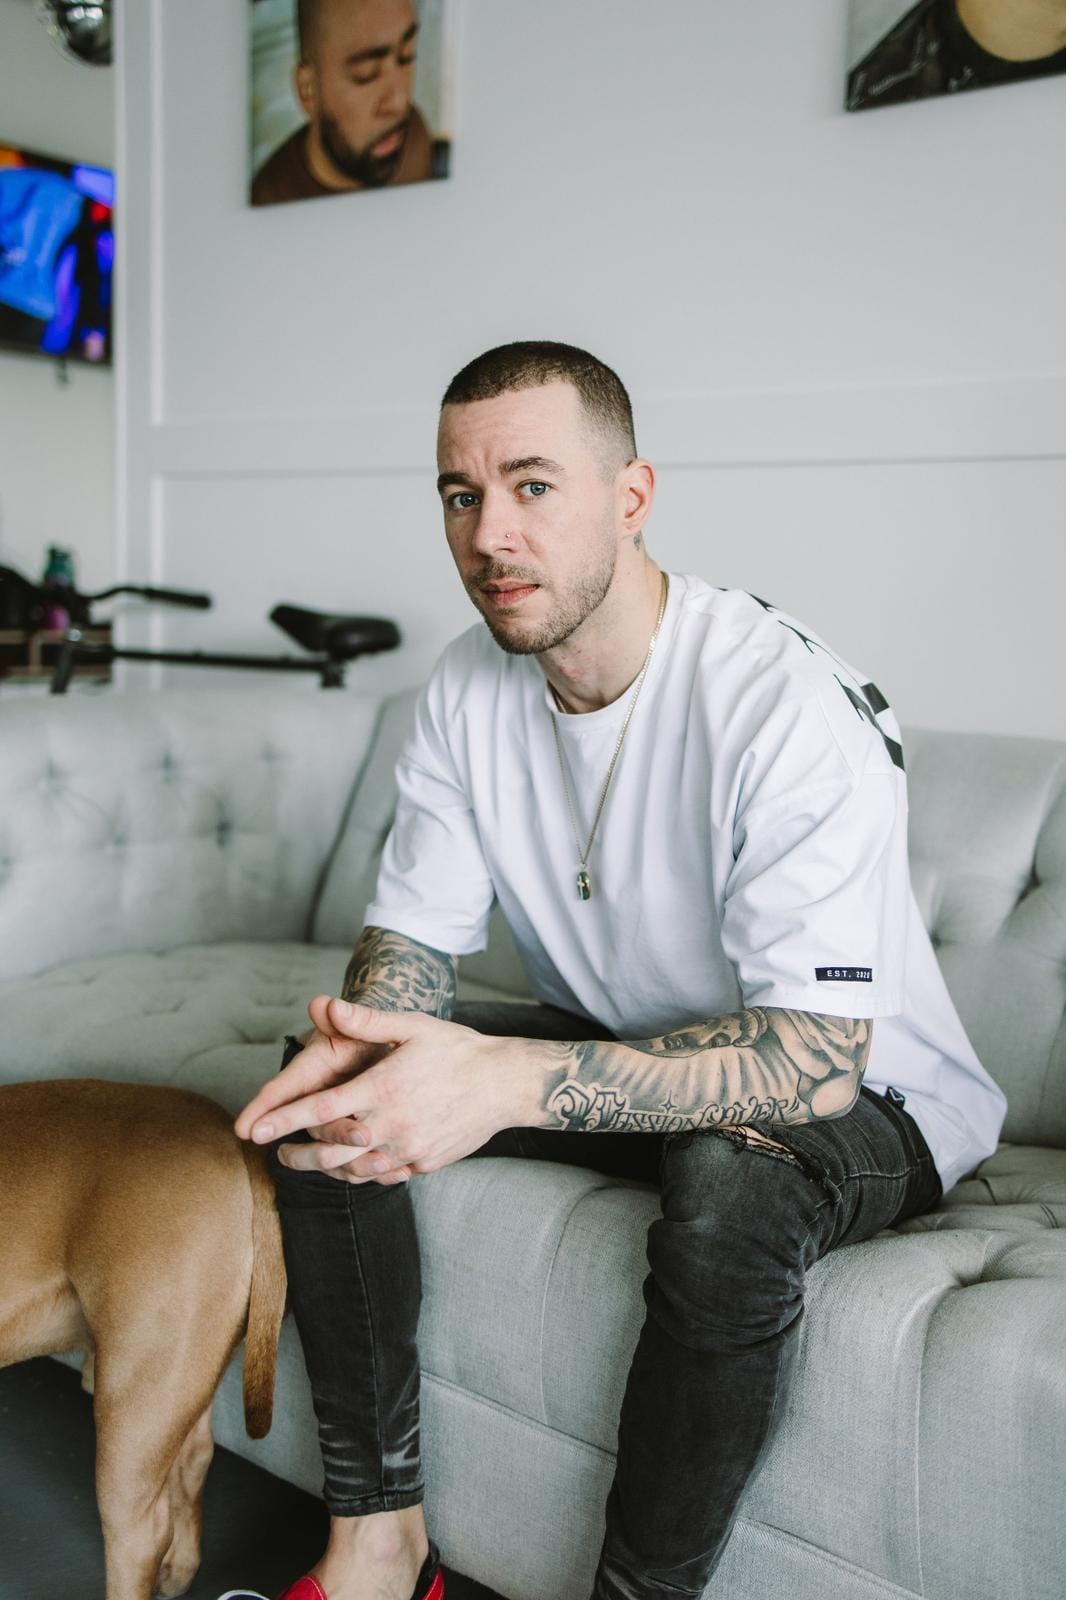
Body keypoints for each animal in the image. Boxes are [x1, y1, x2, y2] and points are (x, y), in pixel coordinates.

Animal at [0, 1075, 286, 1600]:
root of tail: (221, 1129)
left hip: (132, 1407)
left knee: (139, 1538)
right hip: (179, 1377)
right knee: (193, 1459)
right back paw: (181, 1569)